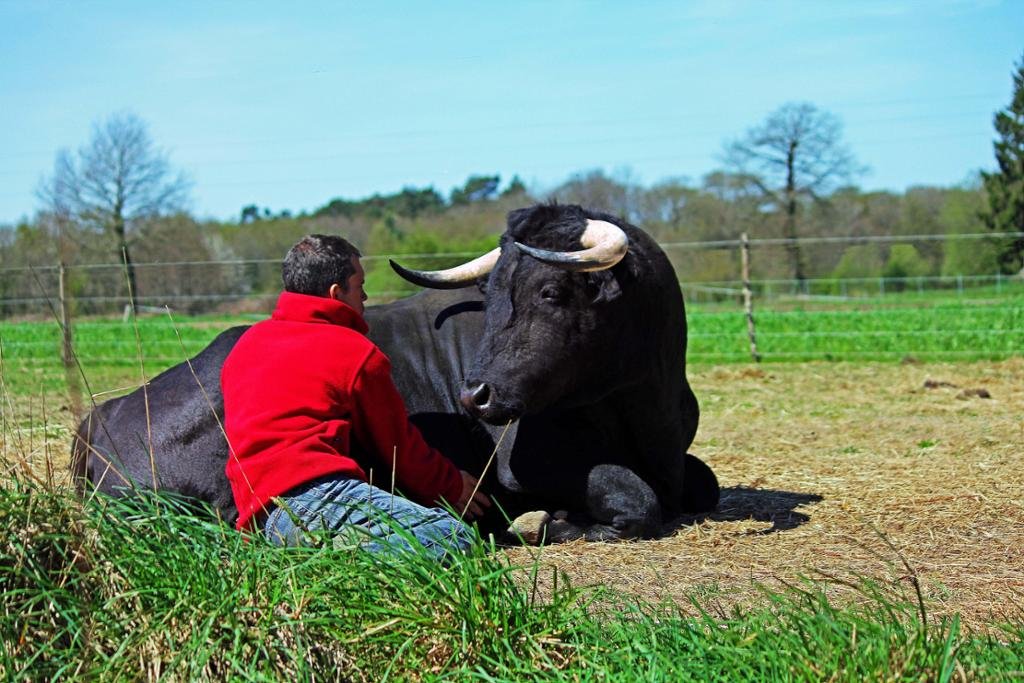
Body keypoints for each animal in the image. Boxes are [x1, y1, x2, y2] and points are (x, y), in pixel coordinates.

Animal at [72, 203, 718, 542]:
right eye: (491, 293)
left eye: (552, 291)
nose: (475, 395)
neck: (643, 409)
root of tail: (104, 415)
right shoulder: (525, 461)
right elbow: (633, 495)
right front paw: (557, 521)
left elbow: (702, 483)